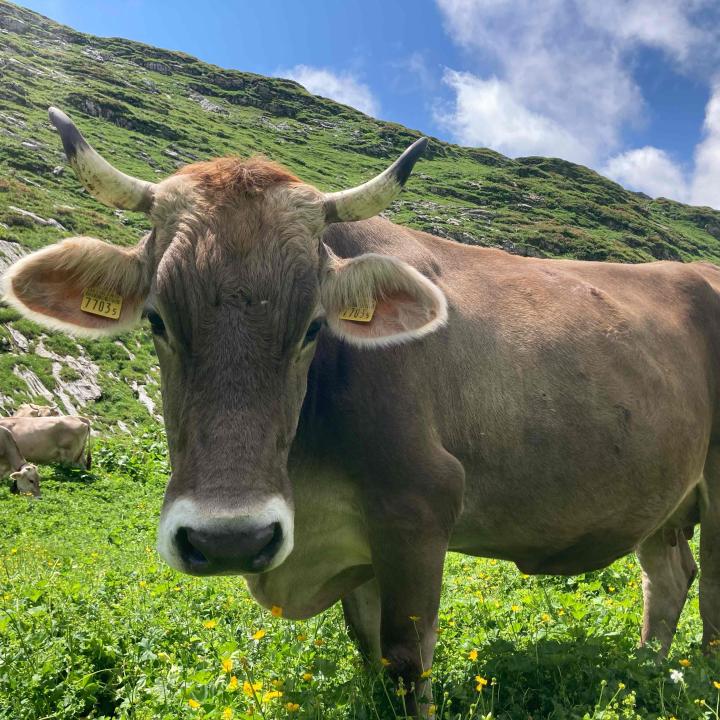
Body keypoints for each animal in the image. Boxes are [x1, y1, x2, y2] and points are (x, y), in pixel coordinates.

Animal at [4, 105, 720, 716]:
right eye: (155, 318)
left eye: (314, 327)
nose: (230, 539)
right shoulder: (358, 545)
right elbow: (368, 650)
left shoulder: (419, 506)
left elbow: (406, 659)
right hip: (661, 490)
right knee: (668, 576)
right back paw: (646, 671)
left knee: (710, 592)